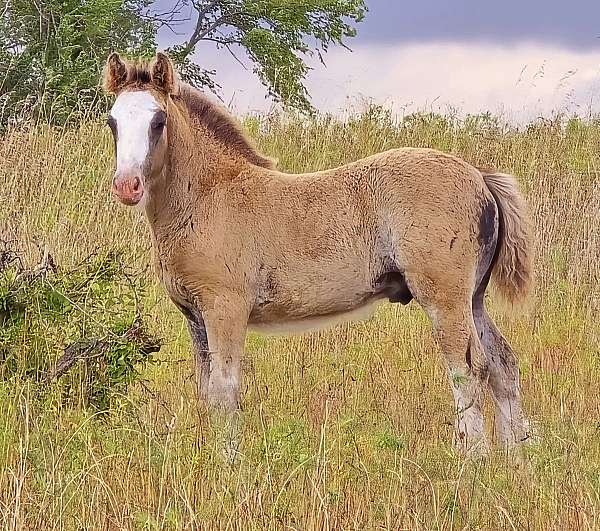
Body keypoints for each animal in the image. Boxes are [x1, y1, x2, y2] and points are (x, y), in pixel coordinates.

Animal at [103, 53, 536, 454]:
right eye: (112, 122)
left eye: (158, 121)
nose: (127, 185)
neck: (208, 196)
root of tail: (479, 176)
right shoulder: (195, 316)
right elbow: (206, 390)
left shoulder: (225, 308)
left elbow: (225, 391)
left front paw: (228, 464)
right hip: (472, 298)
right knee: (503, 366)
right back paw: (516, 459)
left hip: (445, 299)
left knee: (468, 368)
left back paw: (473, 459)